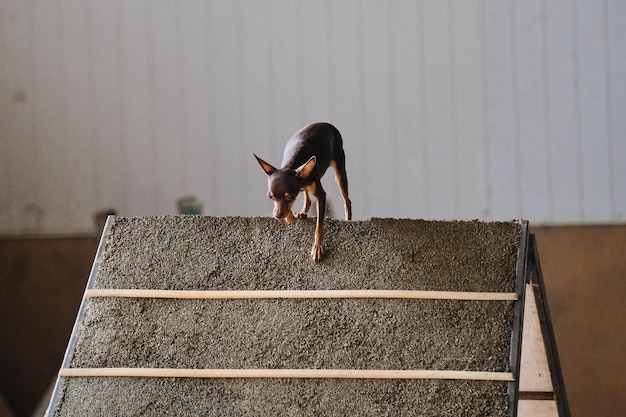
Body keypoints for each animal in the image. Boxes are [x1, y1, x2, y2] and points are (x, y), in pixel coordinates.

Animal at [254, 122, 352, 260]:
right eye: (270, 197)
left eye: (290, 197)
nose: (277, 215)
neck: (291, 165)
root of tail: (325, 123)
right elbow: (289, 210)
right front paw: (291, 218)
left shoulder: (321, 196)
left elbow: (319, 225)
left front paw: (317, 247)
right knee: (307, 197)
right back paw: (303, 213)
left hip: (339, 172)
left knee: (347, 200)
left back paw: (348, 219)